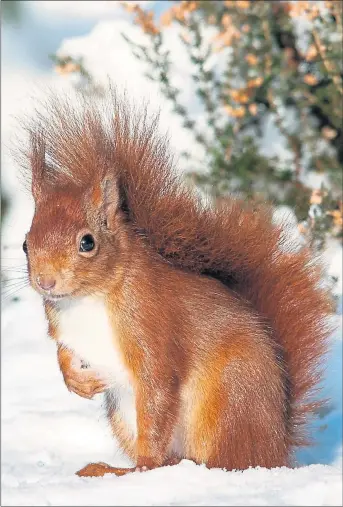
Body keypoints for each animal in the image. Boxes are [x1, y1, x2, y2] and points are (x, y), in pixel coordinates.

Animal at [19, 90, 334, 476]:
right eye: (25, 244)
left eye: (87, 242)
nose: (45, 281)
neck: (88, 298)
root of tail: (275, 451)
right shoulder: (63, 326)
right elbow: (64, 354)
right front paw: (76, 380)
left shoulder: (151, 324)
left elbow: (157, 388)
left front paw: (142, 468)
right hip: (123, 412)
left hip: (232, 399)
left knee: (222, 459)